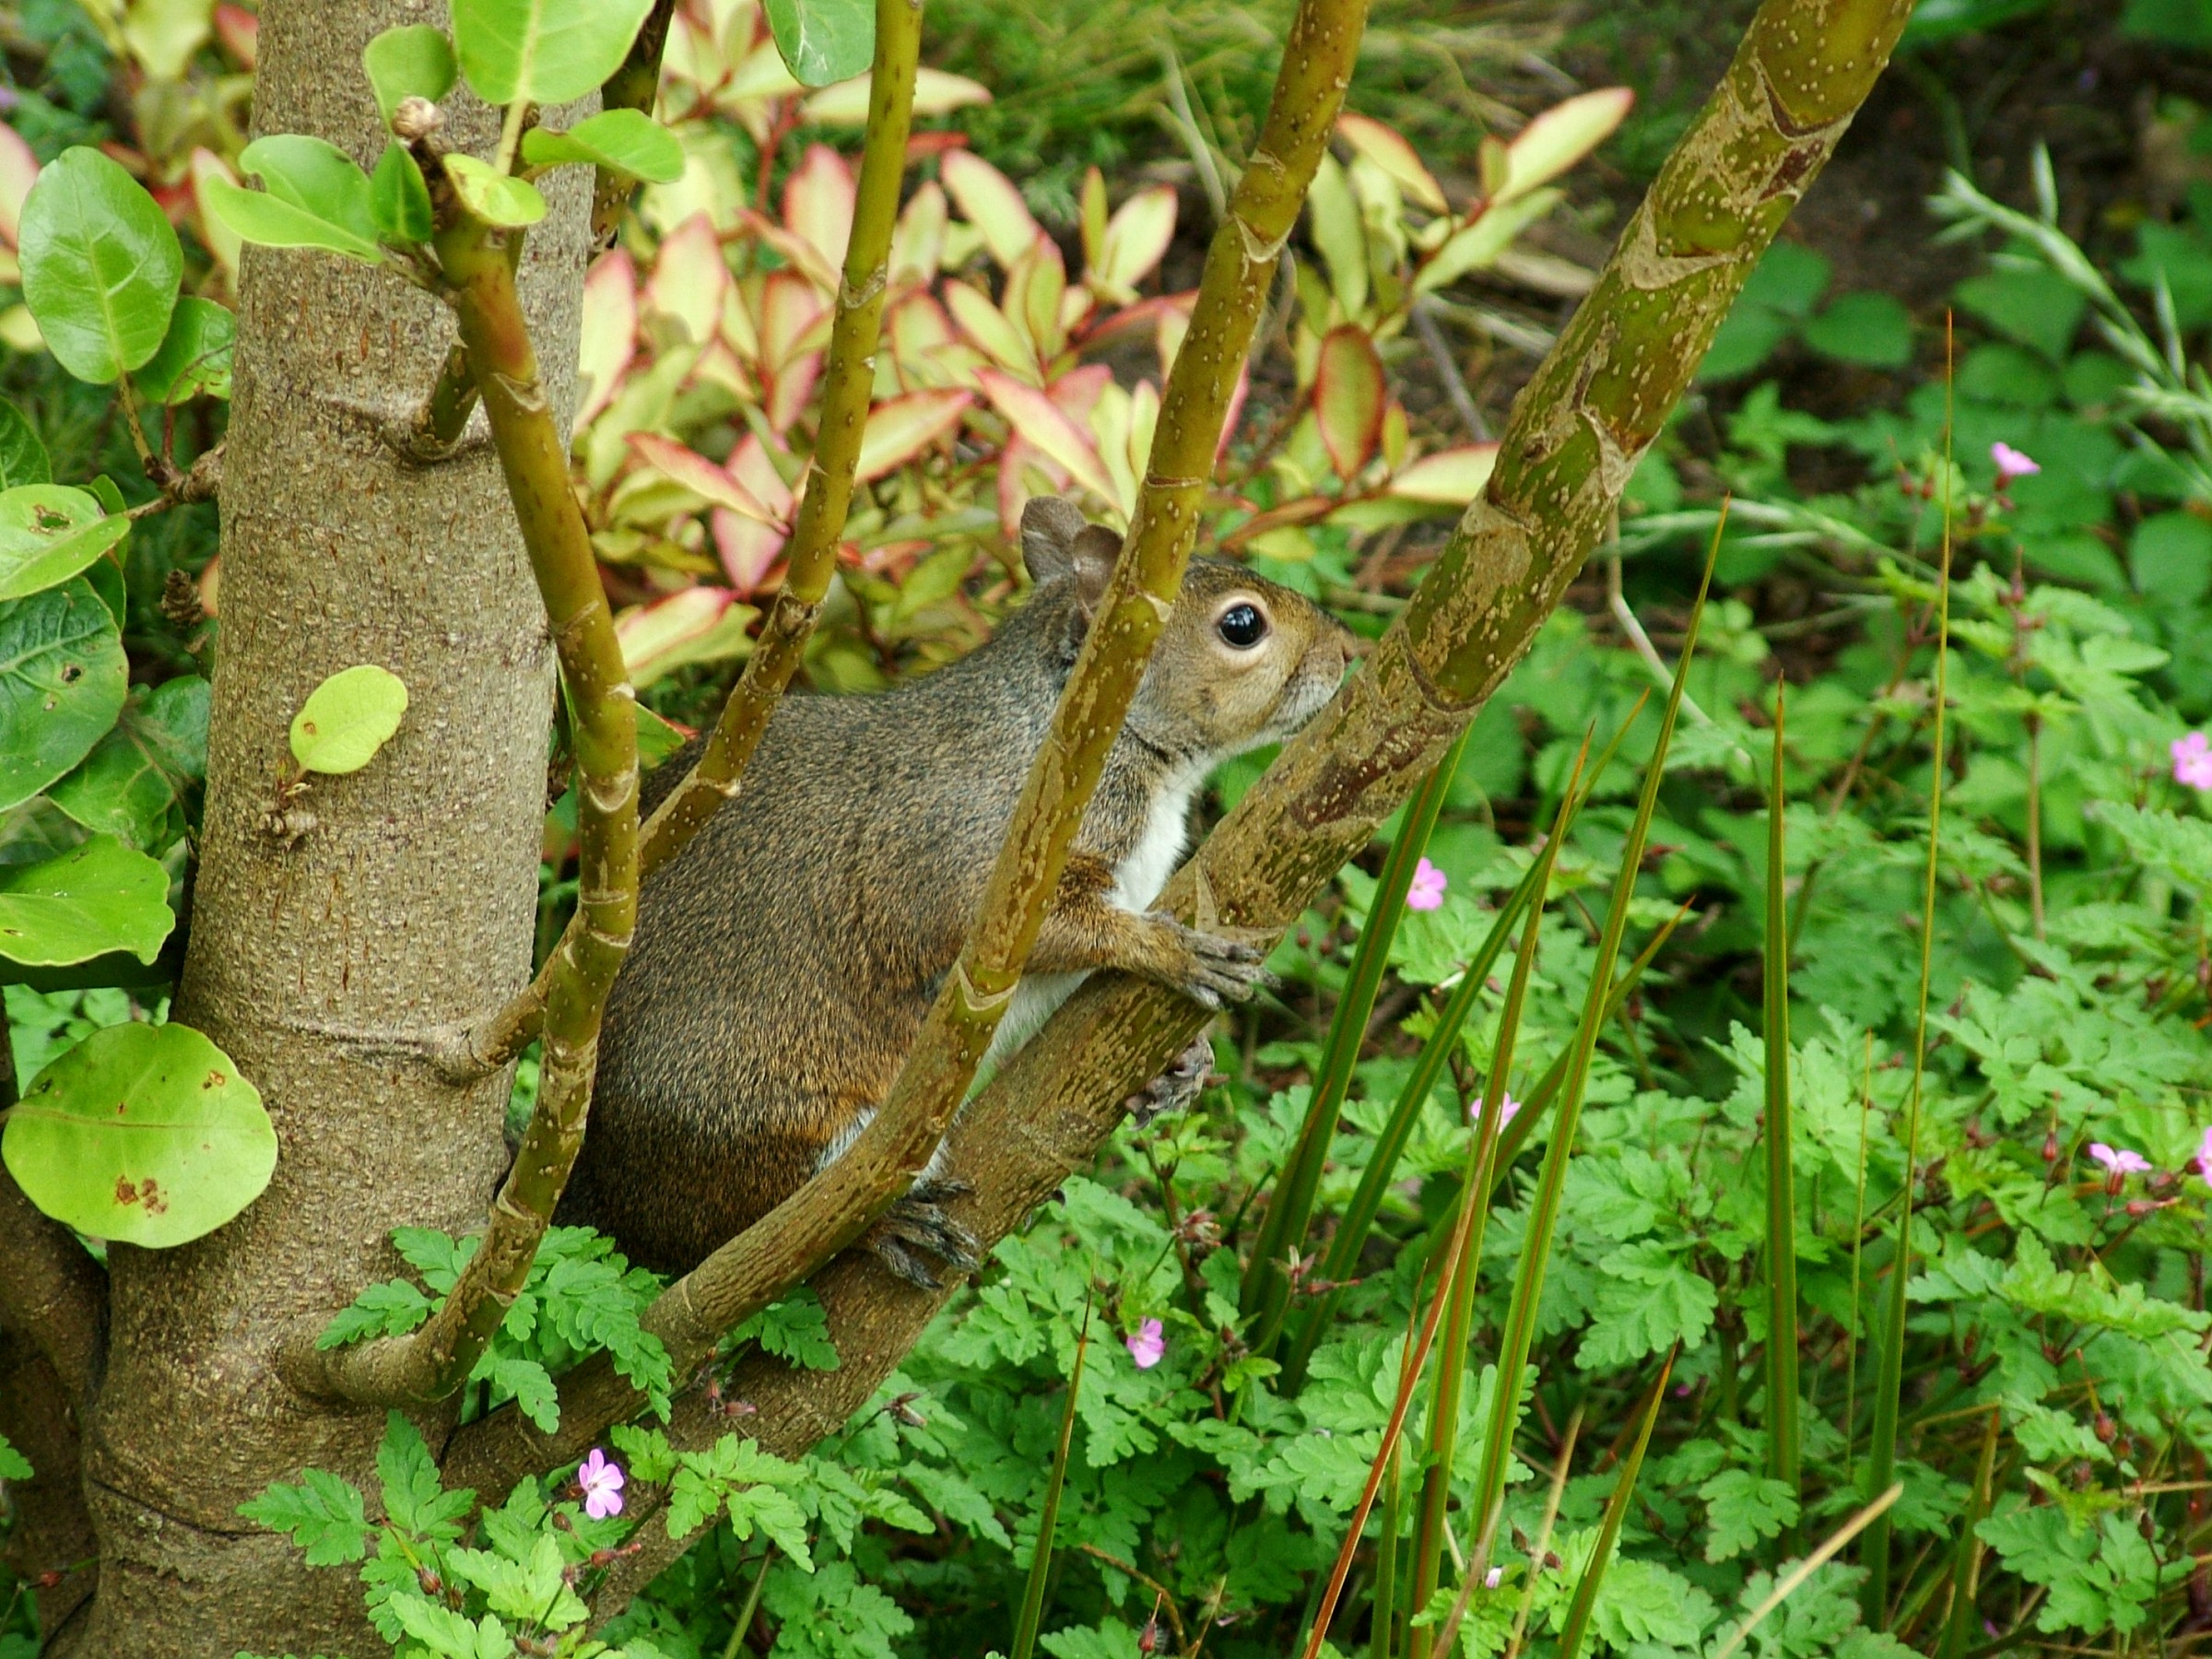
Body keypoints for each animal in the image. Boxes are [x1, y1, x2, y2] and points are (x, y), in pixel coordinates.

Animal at [557, 496, 1355, 1285]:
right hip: (764, 1127)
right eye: (1242, 625)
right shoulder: (978, 850)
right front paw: (1169, 950)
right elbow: (1020, 928)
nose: (1348, 652)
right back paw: (880, 1227)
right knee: (754, 1234)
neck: (1084, 729)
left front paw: (1179, 1066)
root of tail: (599, 1192)